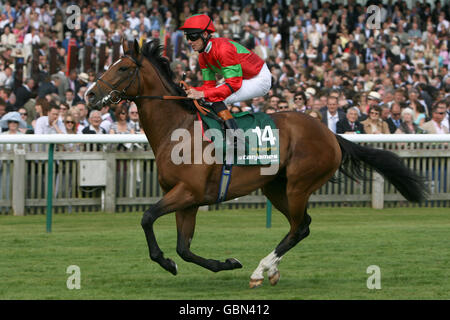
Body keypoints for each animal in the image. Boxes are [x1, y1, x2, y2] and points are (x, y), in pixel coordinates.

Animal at [86, 38, 428, 288]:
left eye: (123, 67)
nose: (90, 94)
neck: (178, 129)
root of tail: (330, 134)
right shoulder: (188, 200)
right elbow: (184, 248)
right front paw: (224, 263)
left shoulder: (188, 192)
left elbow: (147, 217)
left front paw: (167, 261)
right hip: (275, 187)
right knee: (301, 225)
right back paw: (269, 270)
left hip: (298, 185)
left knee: (299, 228)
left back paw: (261, 270)